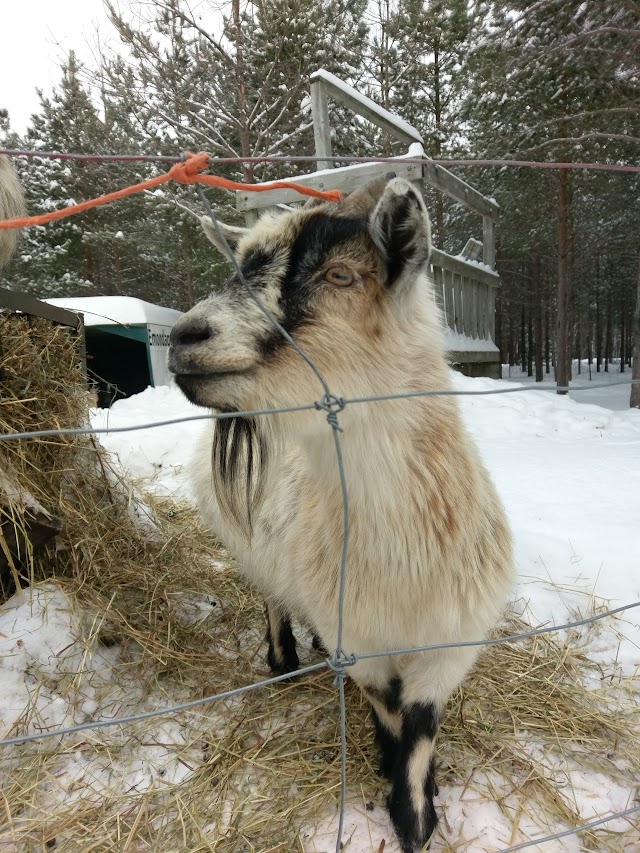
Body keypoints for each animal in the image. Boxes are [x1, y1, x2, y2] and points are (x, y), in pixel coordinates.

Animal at [168, 175, 512, 852]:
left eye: (341, 276)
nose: (184, 336)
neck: (403, 560)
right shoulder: (358, 639)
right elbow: (390, 712)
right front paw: (397, 790)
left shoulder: (450, 642)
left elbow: (421, 723)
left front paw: (419, 811)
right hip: (252, 548)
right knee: (272, 594)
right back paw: (283, 661)